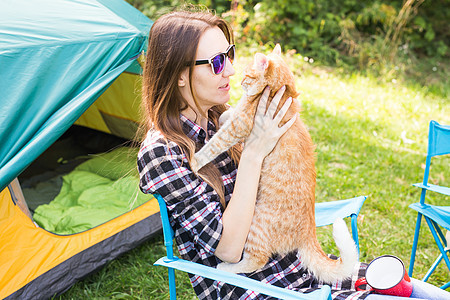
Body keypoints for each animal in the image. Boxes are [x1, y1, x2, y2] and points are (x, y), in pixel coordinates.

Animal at [191, 44, 358, 284]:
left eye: (246, 74)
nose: (239, 83)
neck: (280, 93)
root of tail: (309, 232)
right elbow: (227, 114)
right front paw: (223, 114)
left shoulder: (237, 127)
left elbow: (214, 144)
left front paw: (195, 160)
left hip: (256, 223)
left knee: (256, 260)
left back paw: (225, 268)